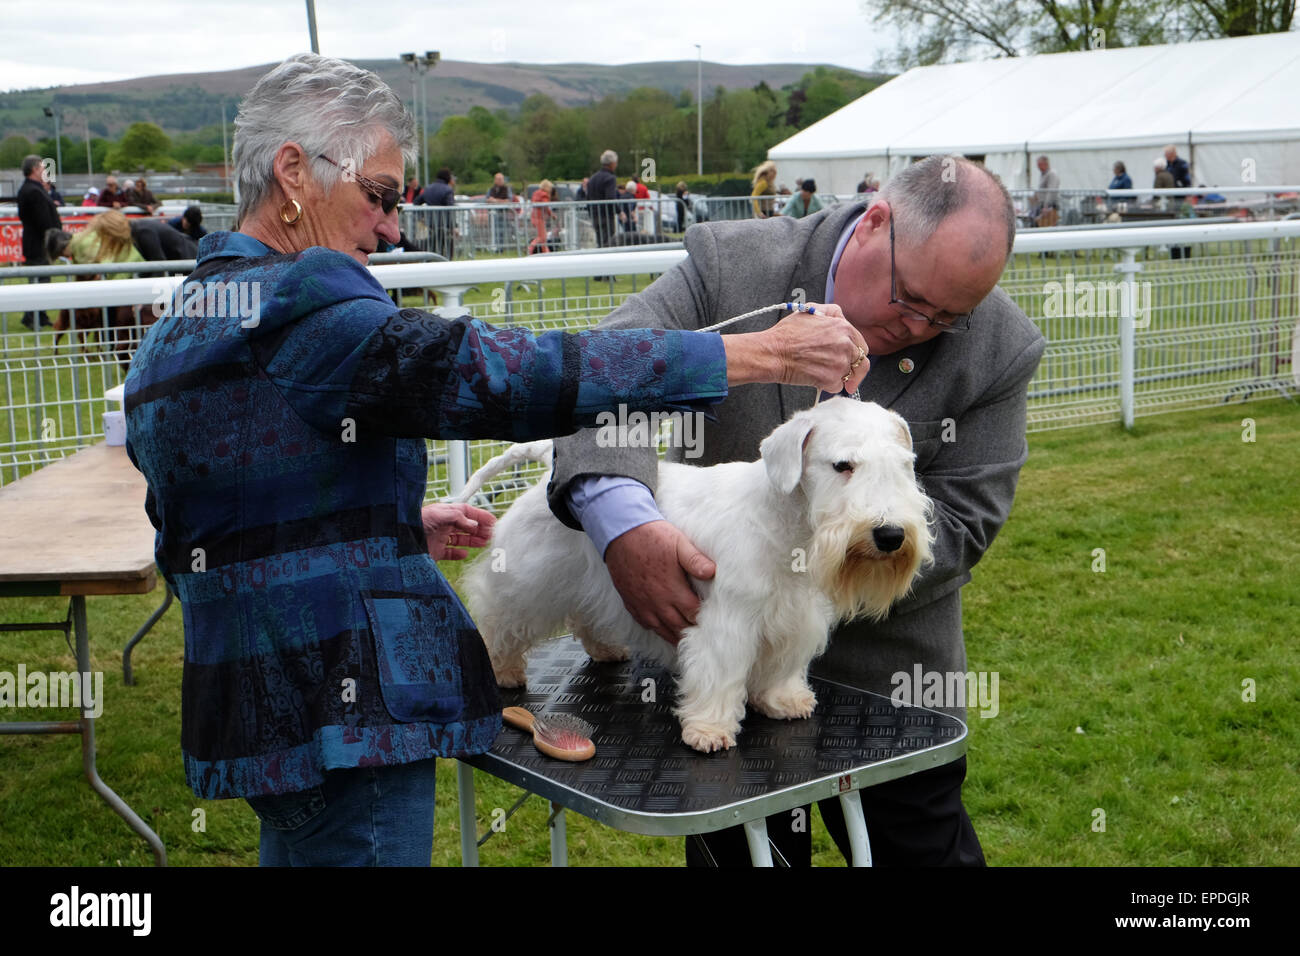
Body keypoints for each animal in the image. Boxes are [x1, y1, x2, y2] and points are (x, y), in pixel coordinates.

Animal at [462, 398, 930, 754]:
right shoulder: (728, 622)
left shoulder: (795, 618)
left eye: (902, 466)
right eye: (842, 465)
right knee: (500, 619)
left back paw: (607, 649)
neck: (788, 525)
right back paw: (502, 670)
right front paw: (708, 730)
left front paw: (781, 699)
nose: (889, 535)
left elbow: (780, 667)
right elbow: (720, 673)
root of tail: (547, 468)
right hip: (528, 579)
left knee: (585, 617)